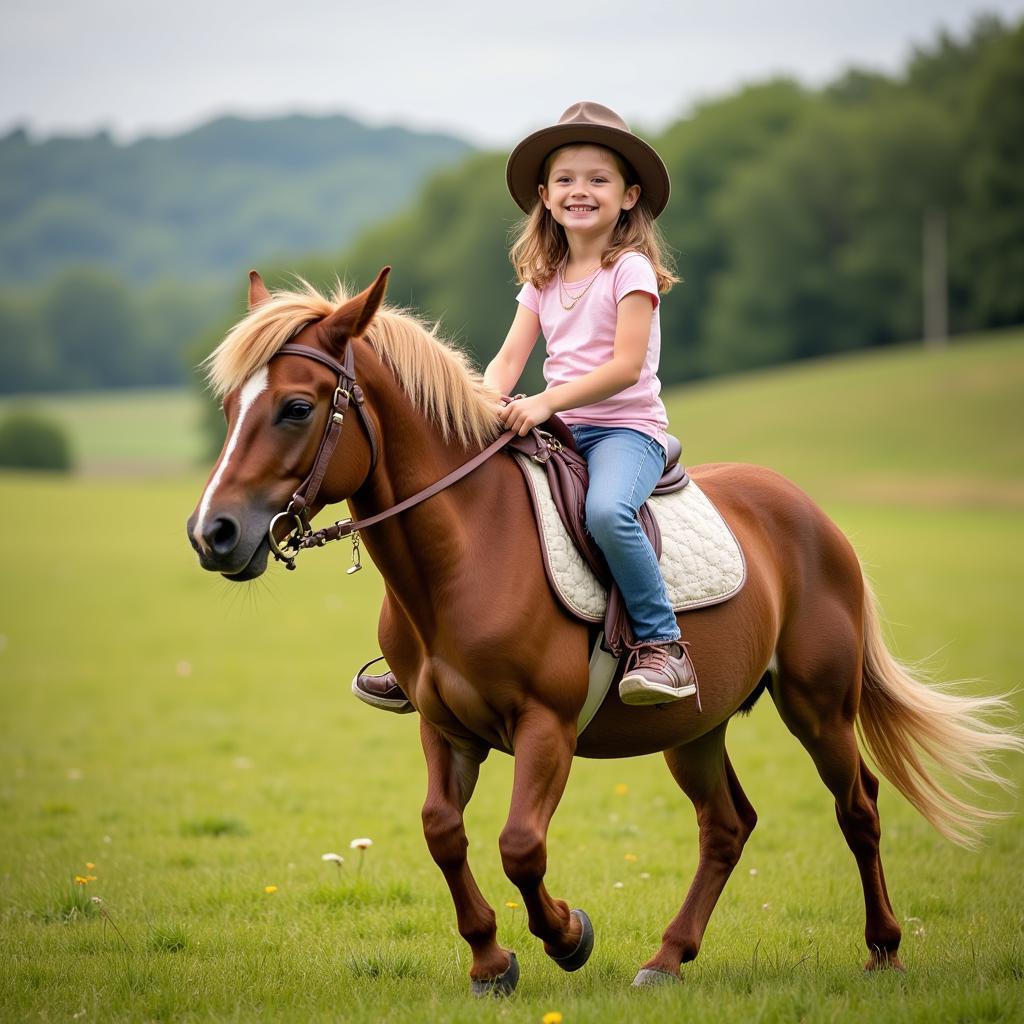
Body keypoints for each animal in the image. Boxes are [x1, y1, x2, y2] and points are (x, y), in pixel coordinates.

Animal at [188, 270, 1019, 991]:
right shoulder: (443, 726)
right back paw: (668, 958)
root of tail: (811, 513)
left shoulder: (545, 726)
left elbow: (520, 845)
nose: (213, 534)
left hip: (819, 708)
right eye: (231, 409)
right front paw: (491, 961)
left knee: (859, 809)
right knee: (727, 826)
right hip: (696, 727)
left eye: (297, 408)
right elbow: (442, 832)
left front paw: (566, 937)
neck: (468, 550)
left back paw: (883, 947)